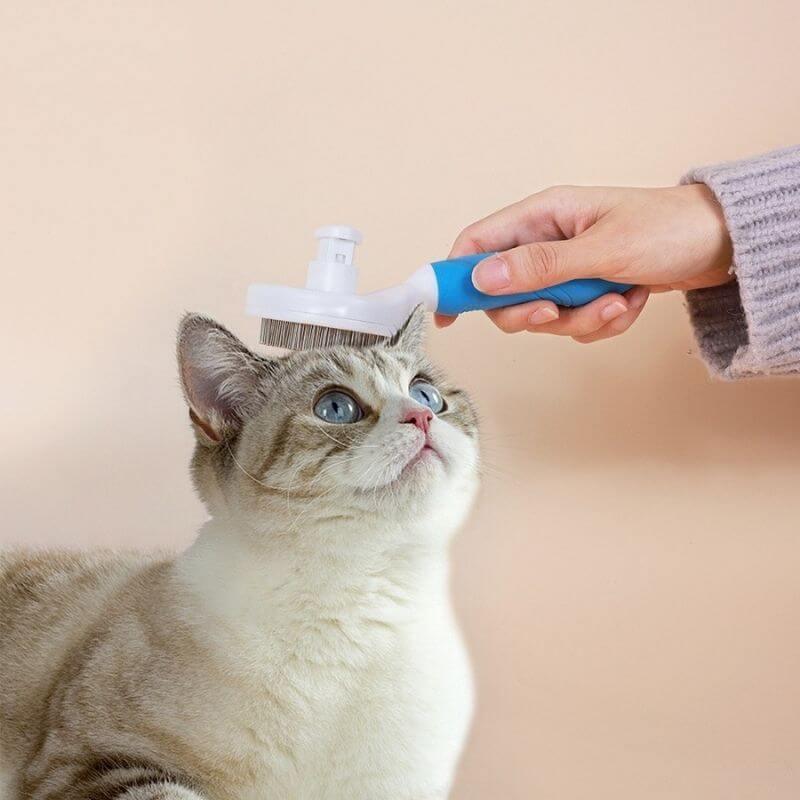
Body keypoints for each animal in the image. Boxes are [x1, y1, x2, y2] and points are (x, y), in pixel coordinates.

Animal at [0, 308, 482, 800]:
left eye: (426, 392)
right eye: (336, 408)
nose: (422, 415)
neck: (359, 603)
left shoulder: (397, 788)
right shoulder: (90, 762)